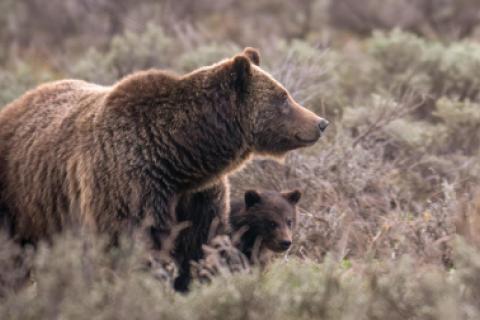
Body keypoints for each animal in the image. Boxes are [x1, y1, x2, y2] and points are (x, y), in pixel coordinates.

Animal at [0, 47, 328, 266]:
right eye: (283, 97)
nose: (320, 122)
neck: (179, 157)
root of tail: (16, 103)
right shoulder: (130, 184)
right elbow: (135, 241)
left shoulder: (198, 197)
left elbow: (198, 244)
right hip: (21, 200)